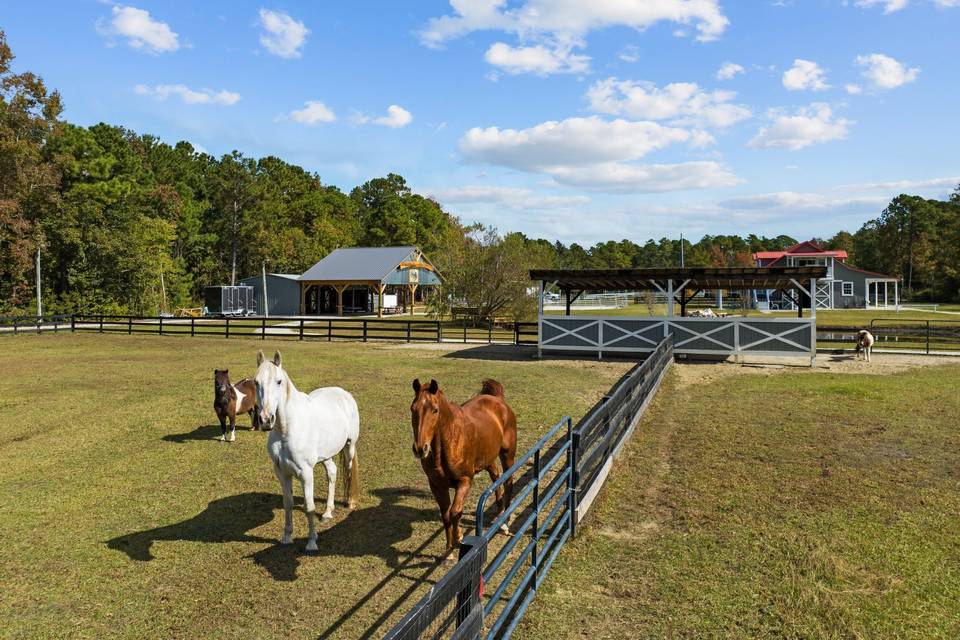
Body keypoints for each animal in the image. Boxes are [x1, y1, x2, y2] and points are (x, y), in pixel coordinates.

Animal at [254, 350, 360, 553]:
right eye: (256, 382)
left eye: (279, 381)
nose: (265, 420)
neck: (287, 429)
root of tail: (344, 394)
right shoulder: (281, 472)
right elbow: (288, 503)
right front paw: (287, 537)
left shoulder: (306, 473)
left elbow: (309, 506)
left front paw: (311, 542)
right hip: (326, 455)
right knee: (332, 473)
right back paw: (327, 512)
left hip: (349, 446)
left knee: (349, 469)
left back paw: (349, 502)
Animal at [410, 378, 517, 557]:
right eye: (413, 409)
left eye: (435, 410)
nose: (420, 448)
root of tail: (498, 400)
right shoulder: (436, 485)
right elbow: (446, 514)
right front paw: (449, 550)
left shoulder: (465, 481)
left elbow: (455, 511)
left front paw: (458, 538)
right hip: (489, 458)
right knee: (496, 478)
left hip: (507, 455)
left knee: (508, 482)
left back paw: (505, 523)